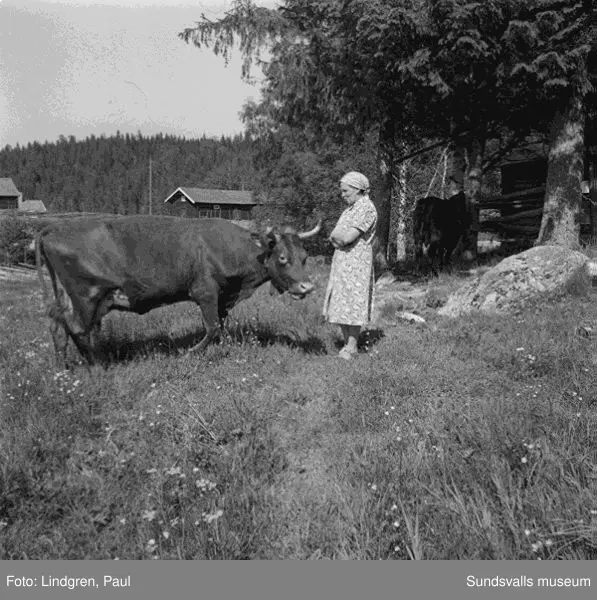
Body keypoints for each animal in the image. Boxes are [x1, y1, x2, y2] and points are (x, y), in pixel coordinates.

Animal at [37, 216, 322, 366]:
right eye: (283, 258)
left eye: (305, 256)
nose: (307, 286)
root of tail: (54, 227)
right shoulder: (205, 293)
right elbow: (212, 327)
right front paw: (191, 352)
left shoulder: (223, 298)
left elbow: (222, 325)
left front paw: (227, 346)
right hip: (87, 296)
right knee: (77, 328)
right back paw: (97, 364)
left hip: (67, 296)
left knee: (58, 326)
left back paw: (65, 367)